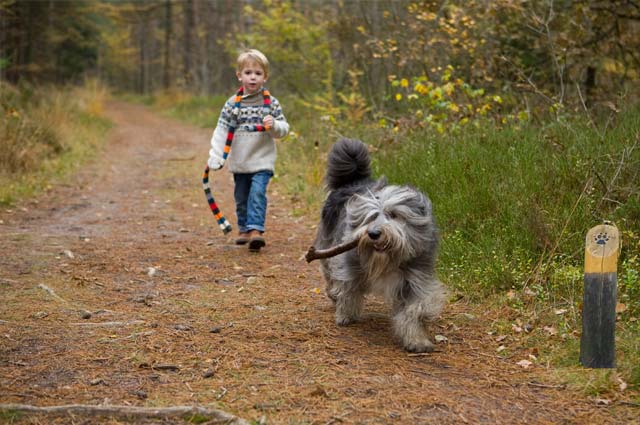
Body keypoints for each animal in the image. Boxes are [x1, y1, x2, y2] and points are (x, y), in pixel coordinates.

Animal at [312, 138, 444, 352]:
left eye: (394, 215)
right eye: (371, 216)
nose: (374, 234)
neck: (388, 258)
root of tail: (354, 180)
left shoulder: (416, 277)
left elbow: (414, 309)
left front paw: (417, 340)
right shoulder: (349, 263)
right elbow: (348, 288)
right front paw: (345, 315)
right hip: (326, 241)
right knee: (328, 271)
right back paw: (333, 293)